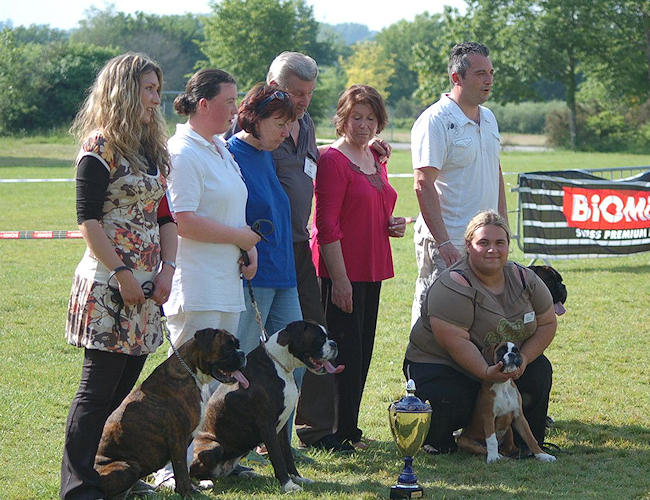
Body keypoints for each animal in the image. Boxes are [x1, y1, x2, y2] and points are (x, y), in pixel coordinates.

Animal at [95, 330, 247, 498]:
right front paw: (187, 494)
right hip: (128, 466)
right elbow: (181, 471)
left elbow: (184, 471)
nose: (242, 354)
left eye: (237, 345)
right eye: (227, 347)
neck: (190, 371)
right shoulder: (178, 440)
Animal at [190, 320, 342, 492]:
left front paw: (297, 478)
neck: (281, 365)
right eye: (319, 339)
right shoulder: (267, 425)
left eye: (327, 337)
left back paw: (245, 473)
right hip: (213, 446)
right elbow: (278, 457)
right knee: (193, 471)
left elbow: (287, 455)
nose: (334, 344)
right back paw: (204, 481)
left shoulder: (282, 427)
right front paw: (288, 485)